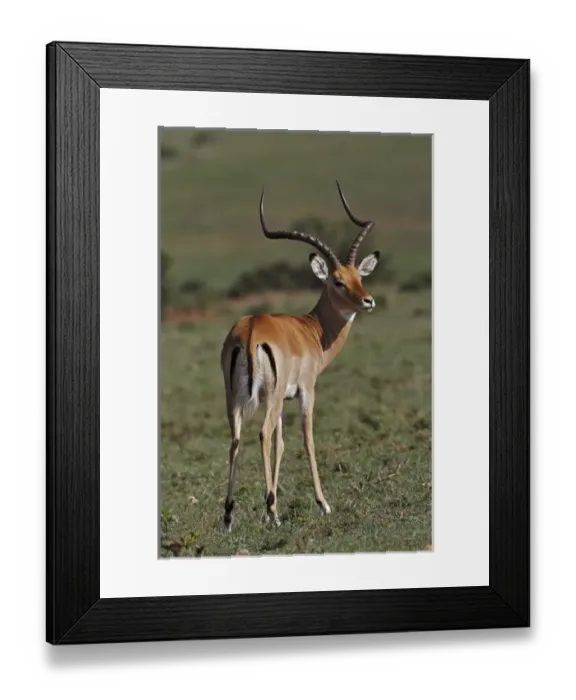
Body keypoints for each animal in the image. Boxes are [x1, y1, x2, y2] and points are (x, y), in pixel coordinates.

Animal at [220, 181, 380, 531]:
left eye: (360, 277)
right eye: (337, 281)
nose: (368, 301)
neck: (311, 331)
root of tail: (252, 330)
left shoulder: (281, 400)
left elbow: (281, 446)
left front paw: (271, 504)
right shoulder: (306, 391)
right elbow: (307, 440)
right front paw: (323, 504)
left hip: (236, 397)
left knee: (237, 439)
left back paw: (228, 516)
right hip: (270, 396)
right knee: (262, 435)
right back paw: (272, 514)